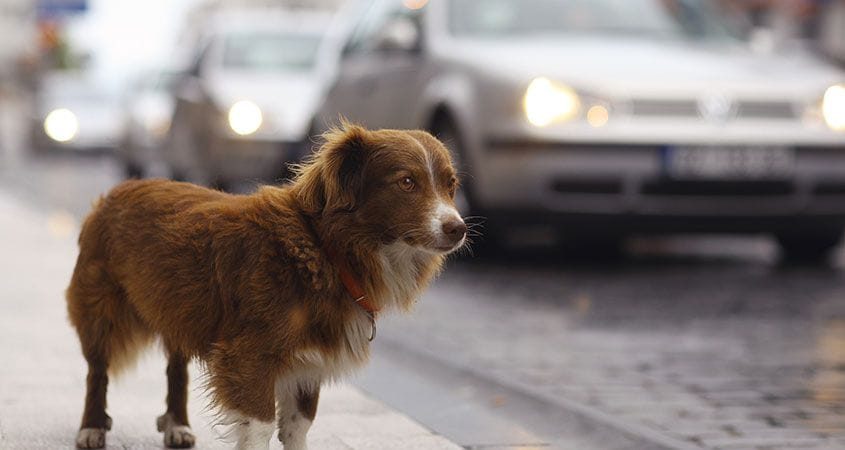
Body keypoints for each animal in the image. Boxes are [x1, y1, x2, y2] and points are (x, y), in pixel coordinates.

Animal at [66, 124, 468, 450]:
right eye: (407, 182)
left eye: (450, 186)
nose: (458, 228)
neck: (325, 248)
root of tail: (118, 190)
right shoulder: (249, 356)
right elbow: (260, 425)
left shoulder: (310, 360)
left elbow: (297, 427)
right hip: (100, 310)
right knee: (96, 372)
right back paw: (91, 428)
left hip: (176, 307)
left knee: (176, 370)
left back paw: (177, 425)